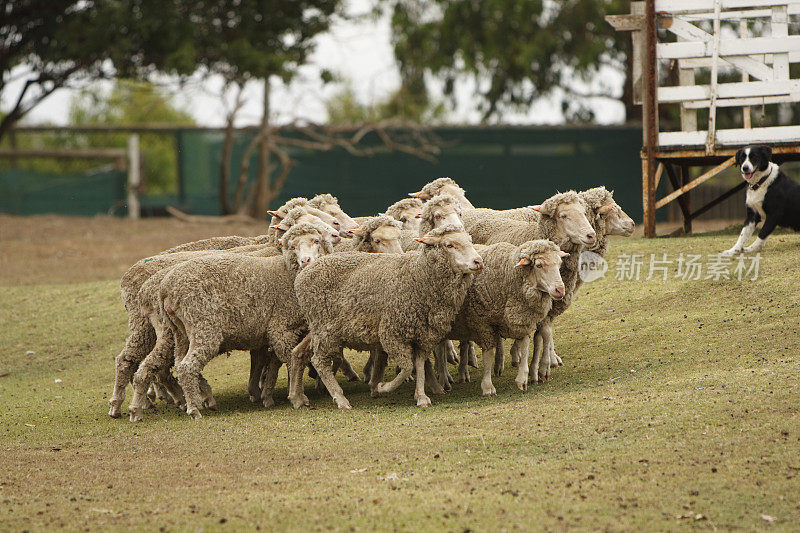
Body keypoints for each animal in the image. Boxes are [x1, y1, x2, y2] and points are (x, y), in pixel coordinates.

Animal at [156, 222, 334, 418]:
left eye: (316, 240)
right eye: (293, 247)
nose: (305, 261)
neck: (288, 274)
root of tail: (166, 288)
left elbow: (276, 361)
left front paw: (270, 395)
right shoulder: (281, 328)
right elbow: (293, 360)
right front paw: (298, 397)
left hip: (179, 330)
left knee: (180, 363)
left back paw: (200, 399)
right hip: (202, 325)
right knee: (187, 366)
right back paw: (195, 409)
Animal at [292, 224, 482, 408]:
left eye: (470, 241)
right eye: (449, 245)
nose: (478, 261)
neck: (418, 276)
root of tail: (303, 274)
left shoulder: (422, 335)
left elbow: (420, 365)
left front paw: (421, 396)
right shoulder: (392, 333)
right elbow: (407, 367)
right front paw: (381, 387)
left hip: (318, 329)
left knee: (301, 353)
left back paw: (300, 397)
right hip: (324, 329)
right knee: (319, 361)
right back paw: (340, 399)